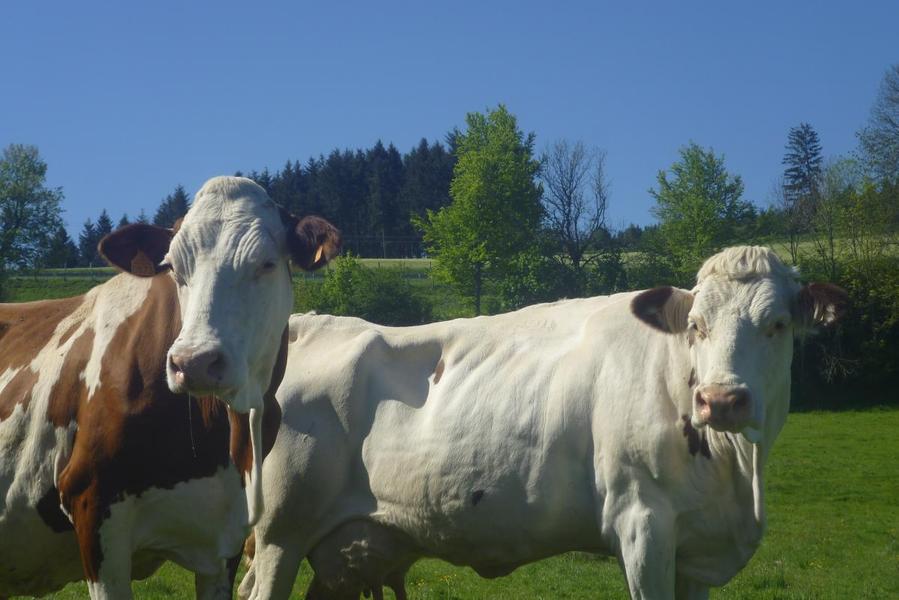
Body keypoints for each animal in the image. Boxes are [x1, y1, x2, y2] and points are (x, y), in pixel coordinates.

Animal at [0, 176, 342, 596]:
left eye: (266, 263)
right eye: (173, 267)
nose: (193, 361)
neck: (222, 437)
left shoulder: (226, 538)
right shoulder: (93, 505)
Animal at [239, 246, 844, 596]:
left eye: (778, 324)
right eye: (695, 325)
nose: (720, 401)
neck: (737, 472)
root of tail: (311, 322)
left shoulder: (696, 553)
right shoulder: (642, 524)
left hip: (342, 551)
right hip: (279, 533)